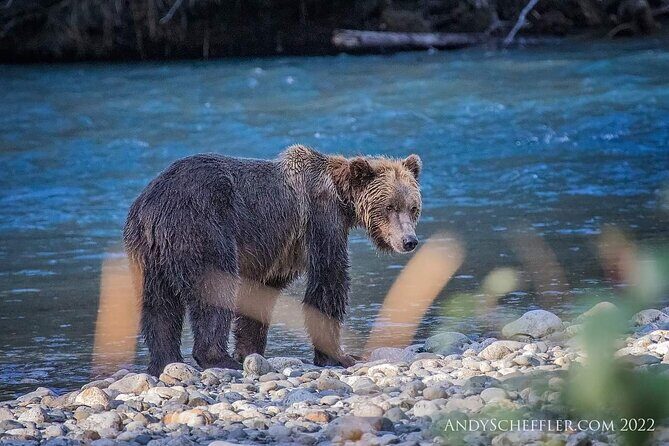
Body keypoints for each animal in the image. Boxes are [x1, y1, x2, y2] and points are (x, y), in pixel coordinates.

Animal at [123, 145, 422, 376]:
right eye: (389, 206)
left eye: (413, 207)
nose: (409, 241)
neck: (343, 200)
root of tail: (153, 207)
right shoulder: (320, 219)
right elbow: (328, 280)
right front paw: (340, 355)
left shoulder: (276, 254)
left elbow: (258, 297)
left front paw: (250, 351)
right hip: (202, 228)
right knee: (215, 290)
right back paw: (219, 359)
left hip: (148, 254)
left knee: (158, 307)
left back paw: (165, 361)